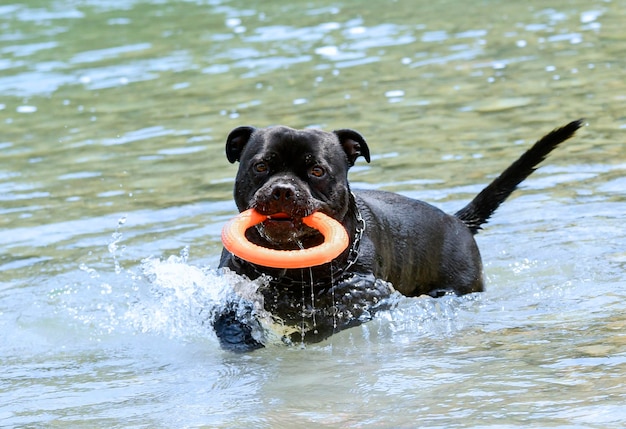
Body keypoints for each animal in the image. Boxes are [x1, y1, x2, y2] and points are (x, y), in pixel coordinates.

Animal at [214, 118, 580, 350]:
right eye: (261, 166)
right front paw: (239, 339)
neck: (290, 263)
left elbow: (331, 319)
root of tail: (459, 222)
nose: (283, 190)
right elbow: (228, 317)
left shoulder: (365, 296)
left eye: (317, 170)